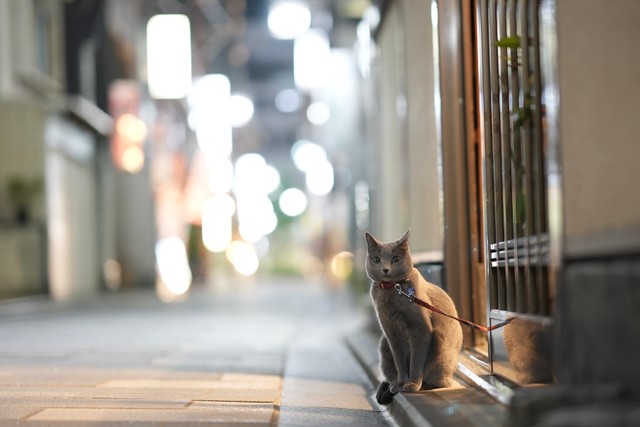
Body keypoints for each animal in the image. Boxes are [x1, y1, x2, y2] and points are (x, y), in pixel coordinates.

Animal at [364, 231, 460, 404]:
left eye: (395, 258)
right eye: (376, 259)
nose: (385, 269)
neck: (392, 289)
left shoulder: (420, 331)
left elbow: (416, 361)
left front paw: (412, 384)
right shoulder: (391, 333)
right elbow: (400, 361)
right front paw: (401, 383)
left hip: (439, 344)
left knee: (439, 382)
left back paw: (423, 385)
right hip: (384, 344)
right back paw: (391, 384)